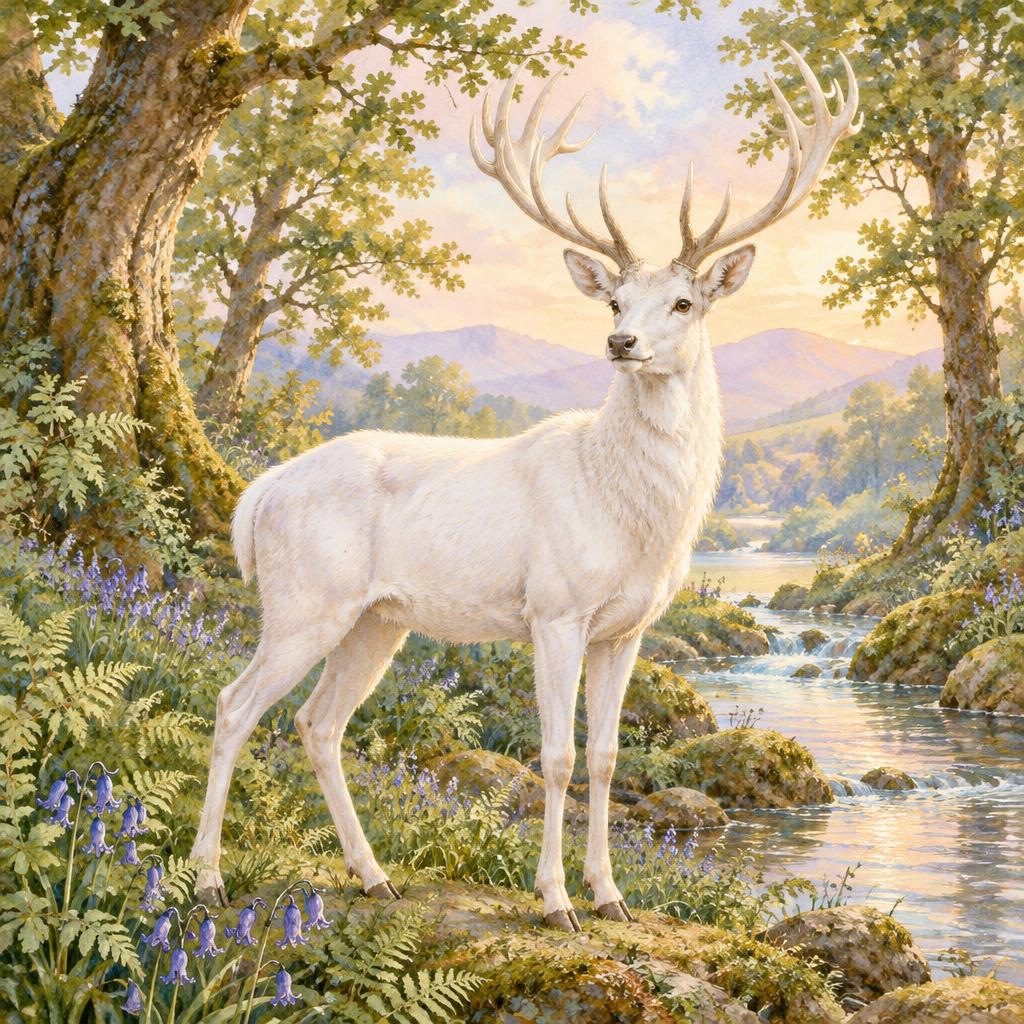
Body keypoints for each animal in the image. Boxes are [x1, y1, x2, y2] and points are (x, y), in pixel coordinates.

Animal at [191, 45, 858, 931]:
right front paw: (556, 900)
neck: (635, 520)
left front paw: (611, 896)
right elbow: (556, 755)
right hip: (305, 600)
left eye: (685, 300)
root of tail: (258, 492)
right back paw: (207, 878)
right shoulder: (555, 608)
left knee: (318, 722)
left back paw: (373, 876)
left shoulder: (626, 628)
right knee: (235, 705)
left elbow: (606, 755)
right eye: (615, 299)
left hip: (376, 620)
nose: (622, 341)